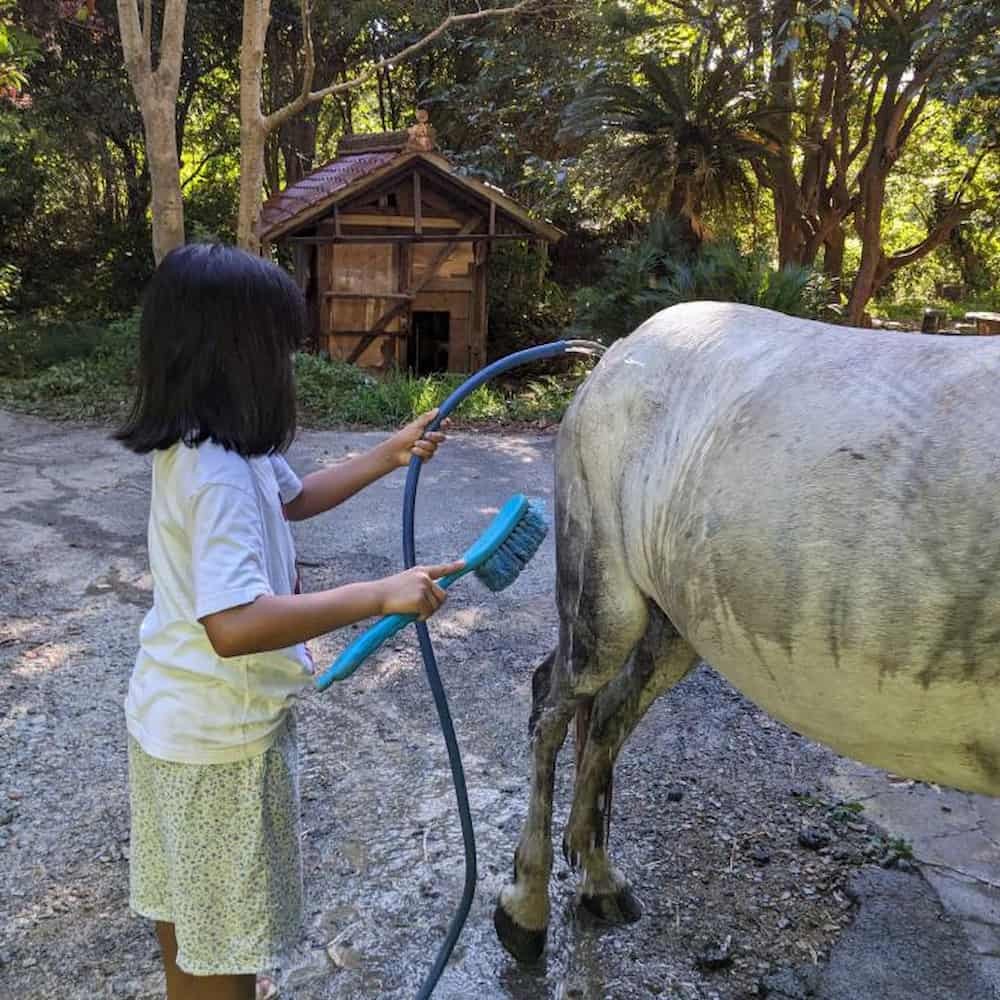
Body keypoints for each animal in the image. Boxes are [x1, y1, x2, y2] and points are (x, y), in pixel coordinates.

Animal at [494, 302, 1000, 960]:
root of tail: (620, 349)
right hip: (605, 601)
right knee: (555, 711)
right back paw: (526, 909)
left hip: (675, 621)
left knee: (606, 716)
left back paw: (599, 884)